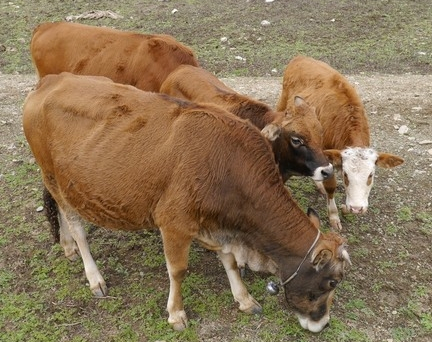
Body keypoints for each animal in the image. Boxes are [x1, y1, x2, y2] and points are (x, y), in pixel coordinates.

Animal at [276, 54, 404, 228]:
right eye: (345, 174)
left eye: (371, 175)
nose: (357, 208)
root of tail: (300, 57)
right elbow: (331, 186)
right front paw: (334, 215)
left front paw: (345, 208)